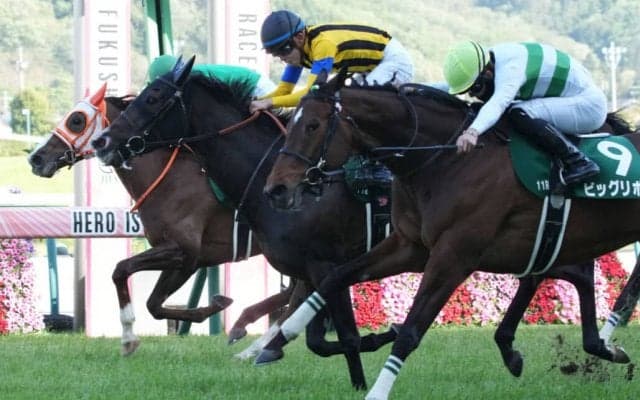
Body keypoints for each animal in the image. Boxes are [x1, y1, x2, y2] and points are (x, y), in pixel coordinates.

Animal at [27, 85, 312, 359]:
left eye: (76, 120)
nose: (36, 158)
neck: (169, 178)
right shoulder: (184, 257)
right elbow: (152, 302)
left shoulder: (185, 250)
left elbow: (123, 272)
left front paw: (129, 338)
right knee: (295, 292)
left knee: (297, 293)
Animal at [263, 70, 640, 399]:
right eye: (292, 123)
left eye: (312, 125)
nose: (276, 190)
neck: (445, 160)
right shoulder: (409, 246)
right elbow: (337, 277)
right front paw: (282, 335)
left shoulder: (453, 256)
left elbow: (409, 332)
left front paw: (376, 392)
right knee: (571, 275)